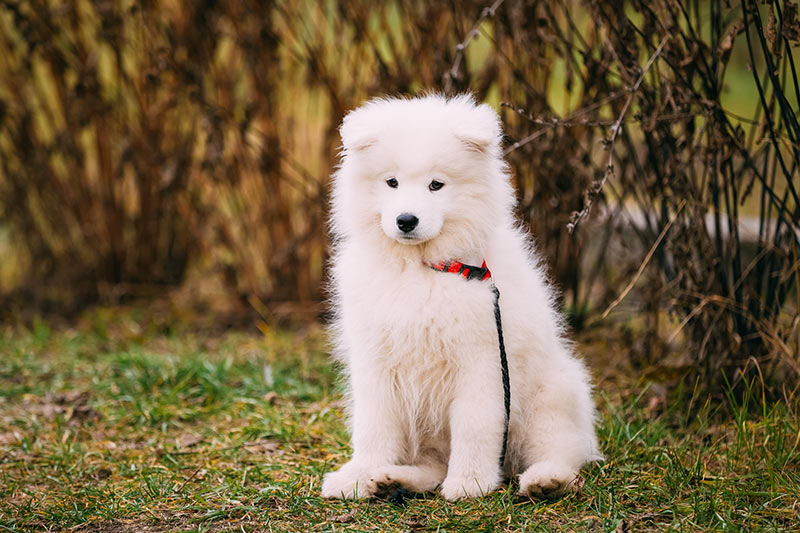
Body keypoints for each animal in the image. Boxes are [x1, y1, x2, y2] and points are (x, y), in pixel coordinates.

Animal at [318, 92, 600, 498]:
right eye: (391, 182)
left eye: (436, 185)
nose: (406, 220)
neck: (422, 269)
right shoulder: (376, 361)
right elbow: (374, 427)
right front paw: (358, 477)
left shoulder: (483, 362)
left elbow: (475, 426)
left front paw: (469, 483)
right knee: (431, 467)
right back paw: (392, 479)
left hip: (551, 395)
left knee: (561, 450)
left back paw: (546, 481)